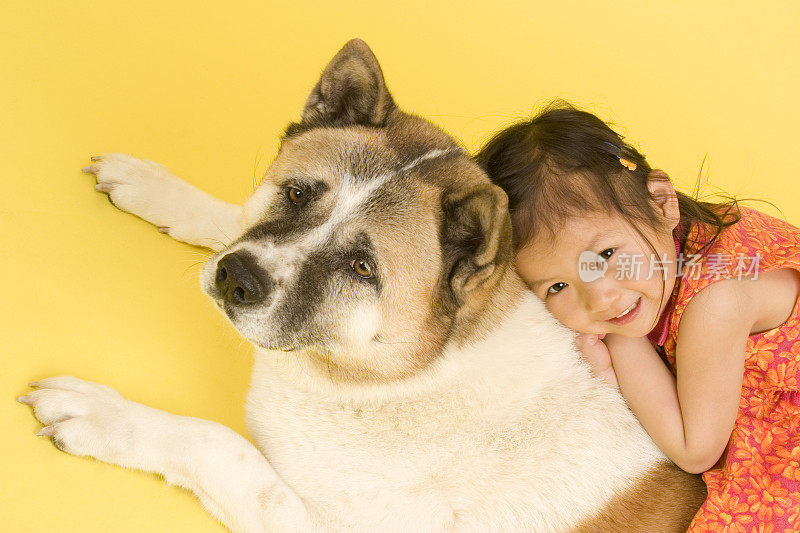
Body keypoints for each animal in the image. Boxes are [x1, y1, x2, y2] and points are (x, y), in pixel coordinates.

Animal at [18, 39, 704, 528]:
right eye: (298, 193)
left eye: (362, 268)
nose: (238, 279)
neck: (408, 371)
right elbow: (232, 219)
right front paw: (155, 187)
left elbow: (224, 448)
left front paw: (102, 414)